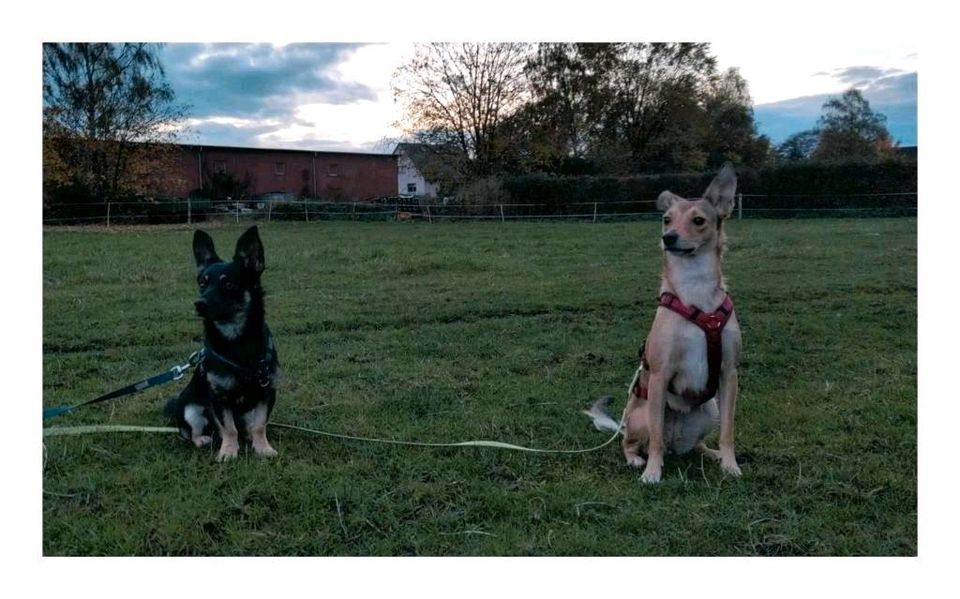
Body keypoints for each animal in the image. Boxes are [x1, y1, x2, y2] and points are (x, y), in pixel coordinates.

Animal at [163, 226, 278, 464]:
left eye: (228, 283)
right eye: (202, 283)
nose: (199, 303)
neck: (237, 341)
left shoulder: (267, 392)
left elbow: (260, 425)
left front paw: (263, 448)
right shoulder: (219, 398)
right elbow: (229, 429)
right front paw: (228, 451)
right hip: (191, 409)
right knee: (189, 432)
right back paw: (202, 439)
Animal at [584, 162, 744, 486]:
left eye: (698, 220)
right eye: (666, 219)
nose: (668, 237)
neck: (695, 291)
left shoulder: (728, 374)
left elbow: (728, 431)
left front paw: (730, 464)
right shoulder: (660, 375)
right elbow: (656, 439)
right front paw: (652, 472)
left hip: (709, 409)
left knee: (696, 444)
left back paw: (711, 454)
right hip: (640, 416)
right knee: (633, 442)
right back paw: (637, 459)